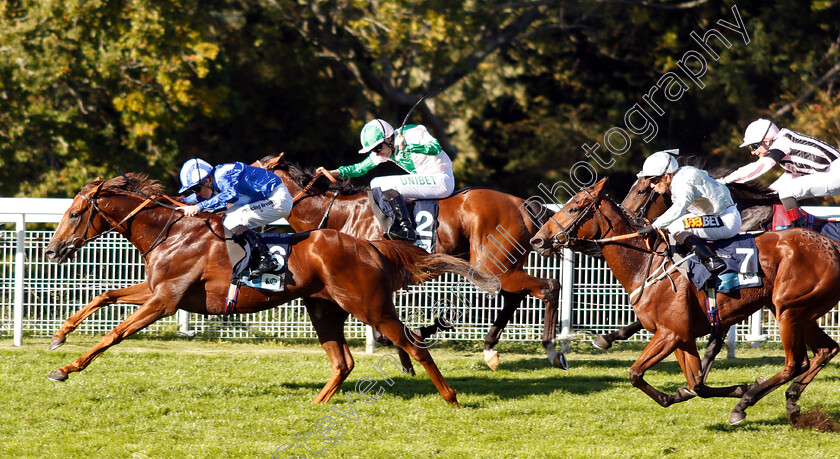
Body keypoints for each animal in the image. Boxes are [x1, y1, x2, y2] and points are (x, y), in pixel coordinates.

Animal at [42, 174, 498, 408]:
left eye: (76, 213)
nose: (51, 250)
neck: (171, 233)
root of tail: (370, 245)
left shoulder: (164, 300)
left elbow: (114, 334)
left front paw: (65, 368)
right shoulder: (158, 290)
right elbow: (103, 297)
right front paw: (59, 336)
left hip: (370, 306)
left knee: (413, 345)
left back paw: (452, 398)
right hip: (324, 308)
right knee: (343, 362)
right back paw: (315, 405)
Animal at [256, 155, 564, 370]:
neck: (342, 213)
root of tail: (522, 203)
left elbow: (384, 332)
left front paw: (409, 354)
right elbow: (383, 333)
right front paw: (409, 352)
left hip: (492, 265)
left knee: (548, 286)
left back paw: (552, 350)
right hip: (502, 266)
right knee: (515, 296)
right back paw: (489, 350)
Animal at [532, 178, 840, 426]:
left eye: (574, 209)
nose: (538, 240)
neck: (645, 262)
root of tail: (831, 245)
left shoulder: (670, 333)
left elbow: (635, 373)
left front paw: (736, 392)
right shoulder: (683, 337)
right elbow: (697, 383)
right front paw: (708, 390)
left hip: (789, 310)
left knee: (795, 363)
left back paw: (743, 406)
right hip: (797, 312)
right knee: (824, 350)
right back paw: (789, 400)